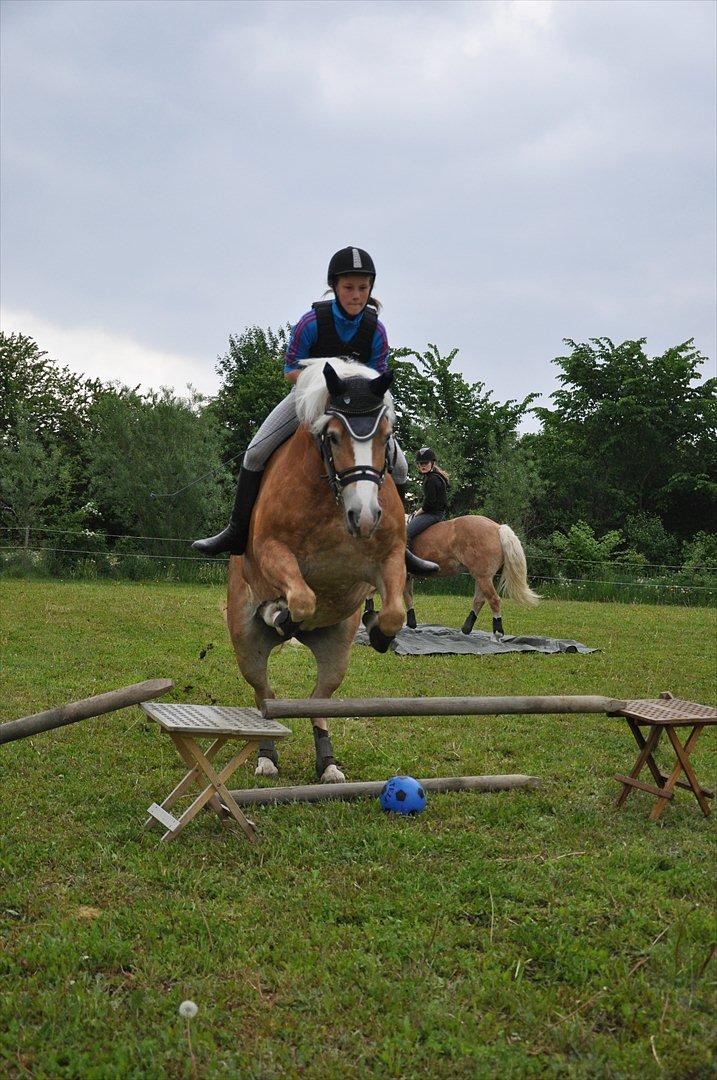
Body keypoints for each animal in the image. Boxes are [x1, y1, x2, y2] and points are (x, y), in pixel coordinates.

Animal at [230, 358, 408, 781]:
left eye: (386, 438)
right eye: (333, 437)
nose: (365, 516)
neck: (333, 498)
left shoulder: (389, 556)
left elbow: (395, 610)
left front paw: (380, 631)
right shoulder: (271, 549)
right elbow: (303, 598)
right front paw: (279, 613)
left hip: (336, 649)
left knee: (319, 701)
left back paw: (327, 764)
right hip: (246, 645)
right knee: (265, 694)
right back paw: (266, 756)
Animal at [399, 514, 539, 630]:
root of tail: (497, 527)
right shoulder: (407, 578)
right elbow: (408, 597)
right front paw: (411, 624)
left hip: (483, 577)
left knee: (494, 600)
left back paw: (497, 634)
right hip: (482, 577)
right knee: (479, 600)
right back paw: (466, 629)